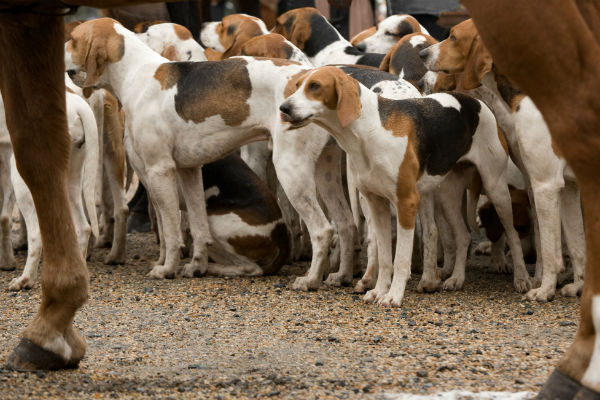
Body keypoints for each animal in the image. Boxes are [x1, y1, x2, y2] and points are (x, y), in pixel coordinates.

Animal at [280, 65, 528, 304]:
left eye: (314, 86)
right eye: (297, 85)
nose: (283, 108)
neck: (370, 130)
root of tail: (476, 102)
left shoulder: (406, 203)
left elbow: (400, 258)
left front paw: (394, 296)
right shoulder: (376, 203)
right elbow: (384, 256)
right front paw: (378, 291)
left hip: (496, 189)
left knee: (512, 234)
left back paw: (522, 278)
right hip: (448, 195)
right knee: (464, 236)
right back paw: (456, 278)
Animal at [420, 18, 584, 300]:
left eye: (453, 37)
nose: (422, 54)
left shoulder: (546, 185)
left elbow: (550, 248)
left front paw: (545, 289)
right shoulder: (566, 188)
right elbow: (576, 245)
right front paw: (579, 286)